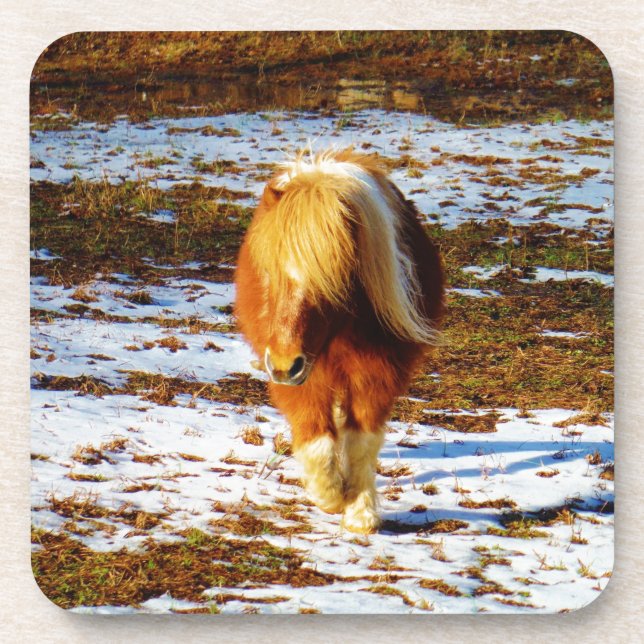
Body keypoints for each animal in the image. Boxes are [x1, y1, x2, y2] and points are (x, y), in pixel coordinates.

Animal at [234, 147, 444, 534]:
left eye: (331, 282)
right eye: (269, 274)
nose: (285, 365)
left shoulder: (378, 374)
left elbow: (361, 442)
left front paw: (360, 511)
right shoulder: (300, 377)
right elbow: (316, 438)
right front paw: (329, 495)